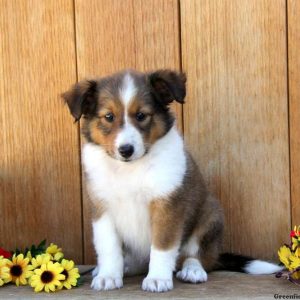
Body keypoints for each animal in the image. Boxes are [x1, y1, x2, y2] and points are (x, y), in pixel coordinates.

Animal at [62, 69, 282, 292]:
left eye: (141, 115)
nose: (126, 150)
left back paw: (192, 270)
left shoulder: (167, 205)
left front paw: (158, 278)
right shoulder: (103, 208)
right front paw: (108, 276)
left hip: (210, 216)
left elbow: (162, 246)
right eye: (108, 117)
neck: (131, 168)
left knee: (197, 256)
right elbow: (109, 248)